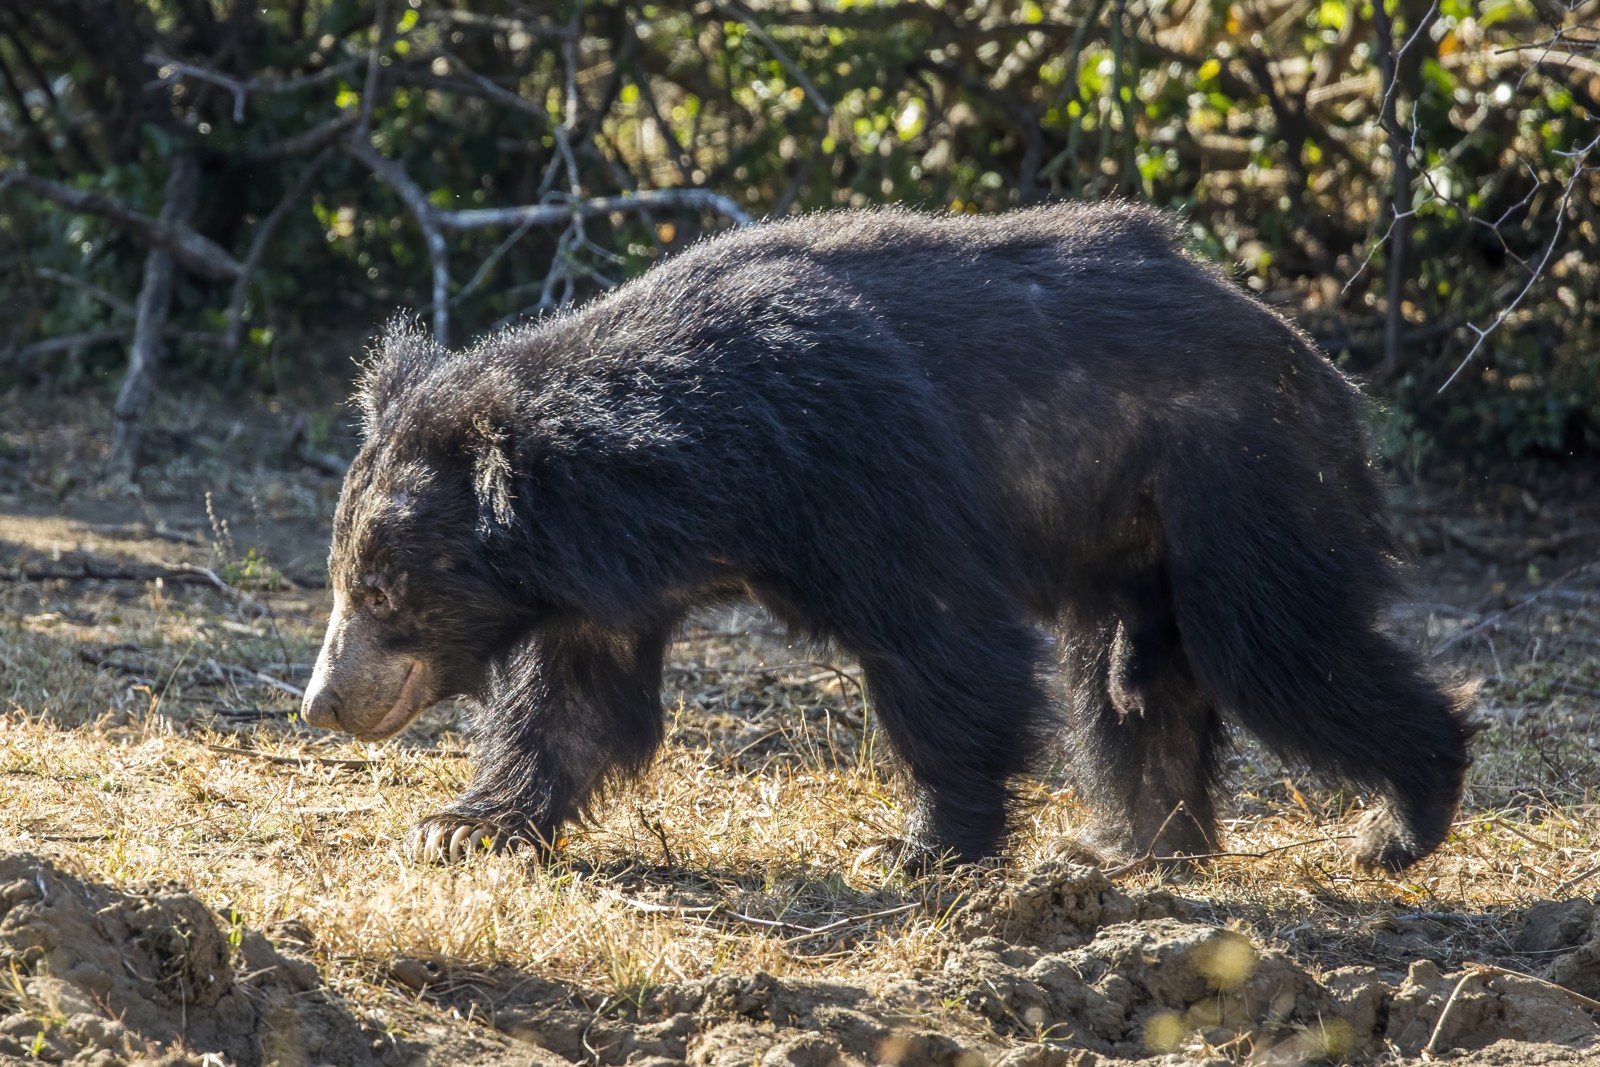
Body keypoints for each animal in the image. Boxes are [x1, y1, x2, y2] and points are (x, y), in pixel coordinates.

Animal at [300, 204, 1472, 870]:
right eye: (343, 579)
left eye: (387, 591)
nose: (322, 704)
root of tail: (1310, 356)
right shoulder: (610, 585)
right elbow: (576, 705)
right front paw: (461, 826)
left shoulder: (859, 455)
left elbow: (943, 641)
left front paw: (921, 846)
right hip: (1129, 528)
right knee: (1133, 682)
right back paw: (1131, 842)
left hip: (1238, 476)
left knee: (1277, 647)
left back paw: (1399, 821)